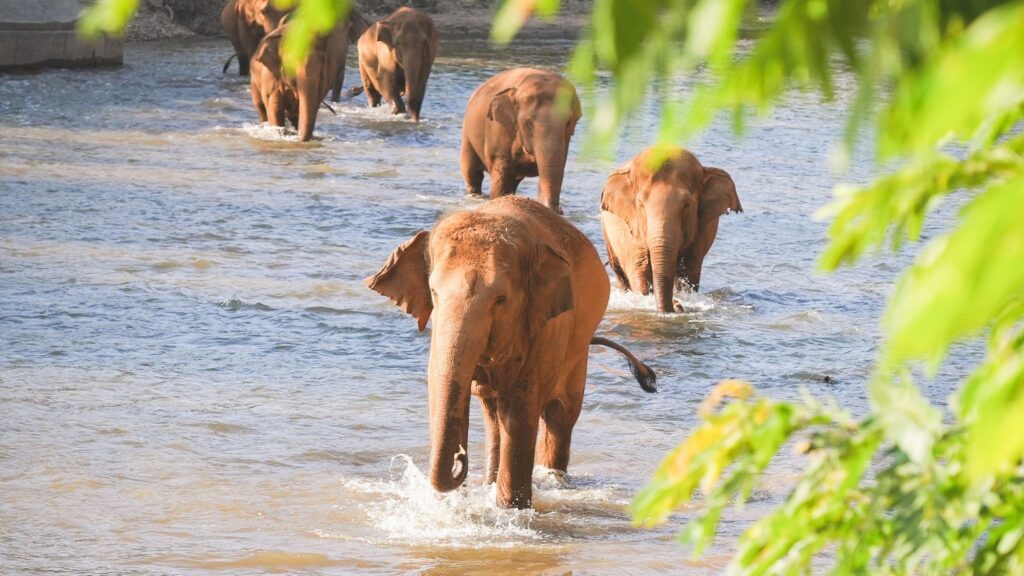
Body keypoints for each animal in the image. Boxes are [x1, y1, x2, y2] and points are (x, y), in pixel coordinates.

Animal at [365, 196, 656, 509]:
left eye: (500, 300)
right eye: (434, 293)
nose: (460, 459)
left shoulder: (545, 326)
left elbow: (519, 410)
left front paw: (510, 508)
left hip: (578, 351)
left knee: (559, 414)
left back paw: (552, 481)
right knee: (493, 415)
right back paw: (493, 480)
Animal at [460, 68, 582, 213]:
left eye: (568, 123)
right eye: (528, 123)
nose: (559, 210)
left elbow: (558, 166)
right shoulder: (497, 127)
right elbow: (502, 171)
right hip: (467, 133)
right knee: (473, 174)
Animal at [600, 146, 743, 313]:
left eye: (686, 205)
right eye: (641, 204)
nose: (677, 305)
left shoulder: (700, 233)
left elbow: (689, 270)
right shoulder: (631, 231)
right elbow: (640, 270)